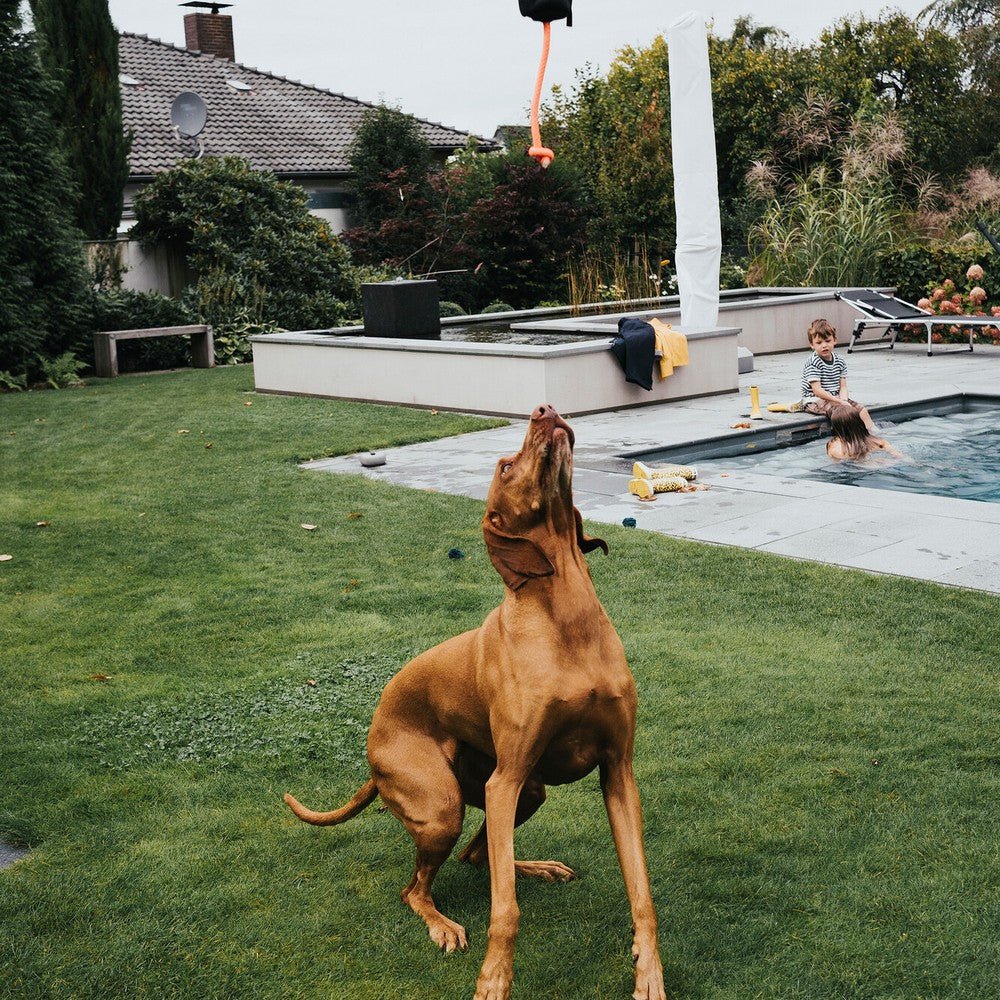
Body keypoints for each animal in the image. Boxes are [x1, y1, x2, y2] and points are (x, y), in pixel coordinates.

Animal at [286, 404, 668, 1000]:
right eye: (506, 467)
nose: (544, 410)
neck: (568, 621)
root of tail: (373, 741)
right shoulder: (503, 781)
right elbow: (504, 912)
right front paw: (494, 979)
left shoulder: (617, 771)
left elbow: (641, 891)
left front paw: (649, 970)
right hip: (444, 804)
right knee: (417, 888)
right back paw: (442, 925)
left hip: (524, 790)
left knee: (480, 856)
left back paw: (534, 867)